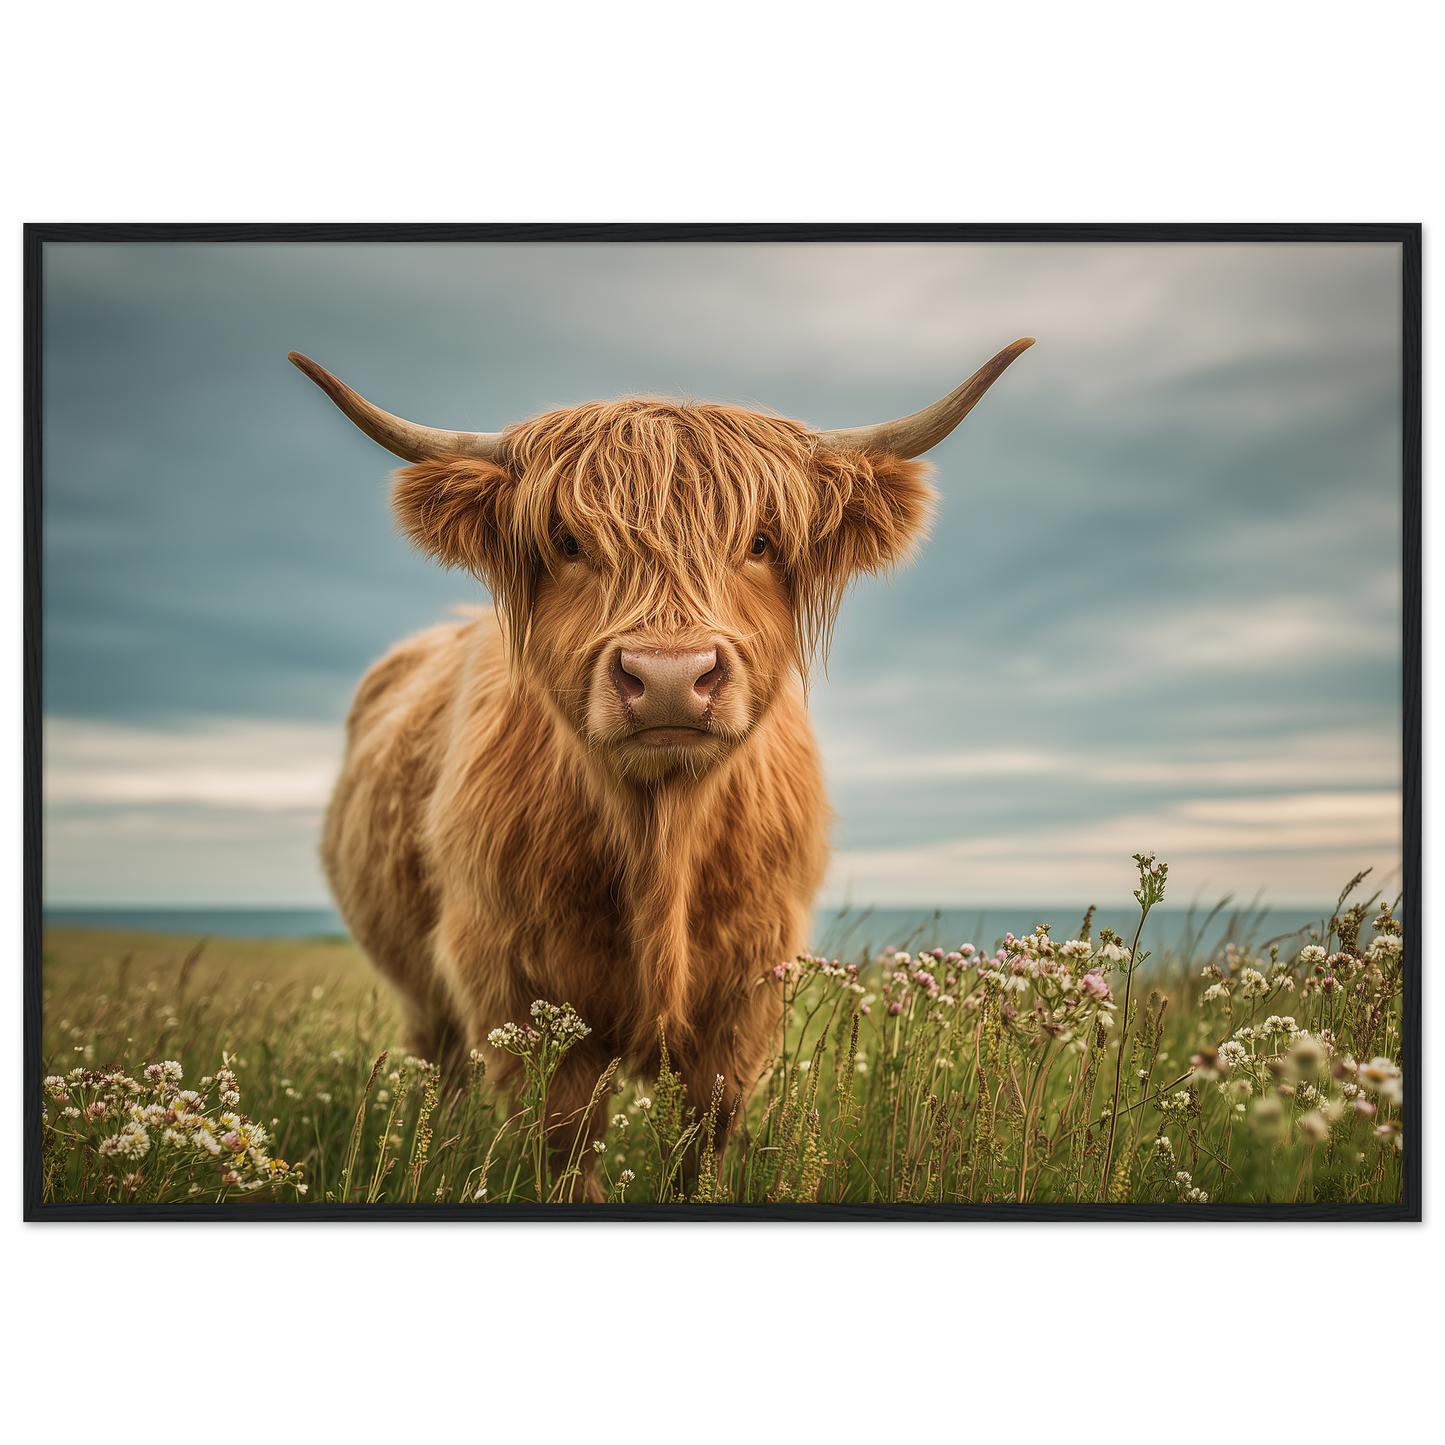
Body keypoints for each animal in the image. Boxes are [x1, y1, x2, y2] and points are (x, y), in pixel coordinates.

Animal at [291, 338, 1033, 1199]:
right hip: (424, 996)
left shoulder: (745, 994)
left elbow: (704, 1137)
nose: (671, 676)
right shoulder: (514, 985)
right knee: (438, 1072)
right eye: (568, 542)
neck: (661, 833)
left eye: (759, 542)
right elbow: (564, 1141)